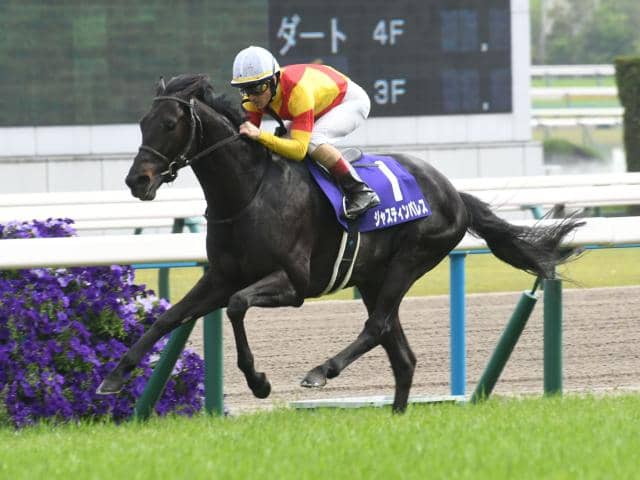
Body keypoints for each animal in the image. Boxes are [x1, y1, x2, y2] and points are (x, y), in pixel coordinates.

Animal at [97, 74, 583, 413]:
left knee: (377, 327)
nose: (137, 181)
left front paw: (259, 381)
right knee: (401, 355)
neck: (249, 191)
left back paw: (320, 372)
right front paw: (115, 376)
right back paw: (396, 418)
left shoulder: (292, 283)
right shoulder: (220, 277)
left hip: (411, 260)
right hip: (372, 277)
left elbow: (236, 307)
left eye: (170, 123)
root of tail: (452, 192)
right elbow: (168, 319)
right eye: (142, 124)